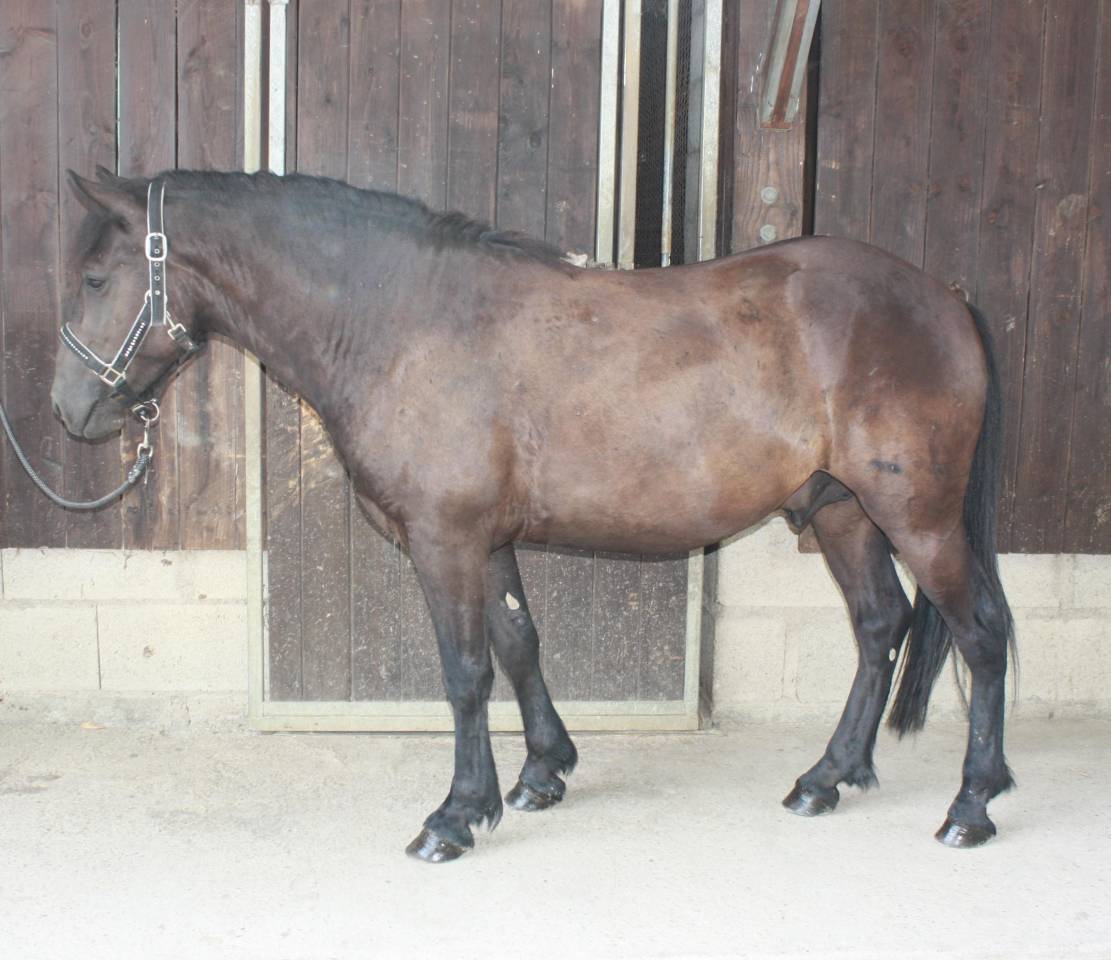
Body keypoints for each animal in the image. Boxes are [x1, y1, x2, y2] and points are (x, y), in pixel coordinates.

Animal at [51, 168, 1015, 863]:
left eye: (96, 276)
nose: (70, 411)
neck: (404, 321)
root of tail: (945, 296)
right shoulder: (486, 542)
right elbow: (517, 646)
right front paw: (541, 774)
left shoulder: (444, 540)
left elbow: (465, 673)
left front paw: (453, 815)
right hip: (843, 513)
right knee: (879, 625)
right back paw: (828, 775)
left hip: (919, 517)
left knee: (979, 634)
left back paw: (971, 803)